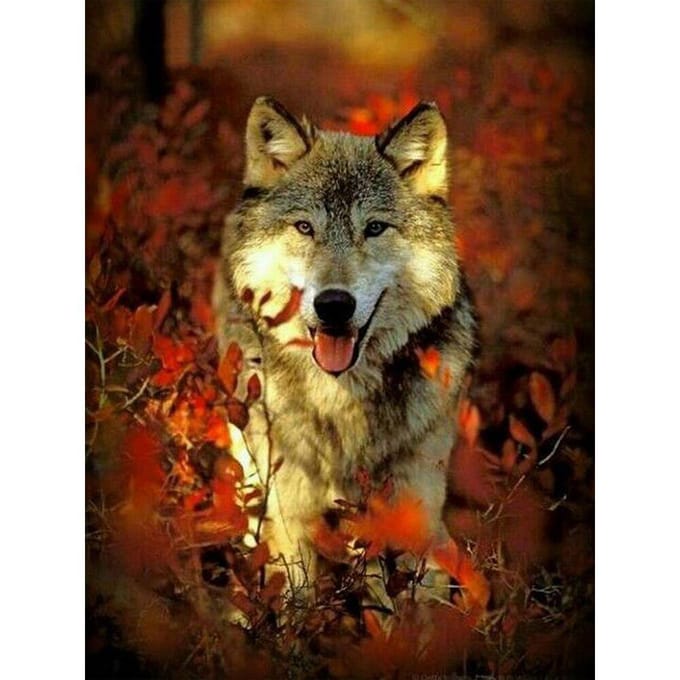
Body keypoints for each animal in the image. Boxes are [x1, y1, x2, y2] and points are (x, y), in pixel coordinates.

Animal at [213, 96, 477, 594]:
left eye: (373, 228)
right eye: (304, 227)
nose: (334, 304)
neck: (342, 399)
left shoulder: (416, 511)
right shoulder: (290, 518)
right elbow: (297, 600)